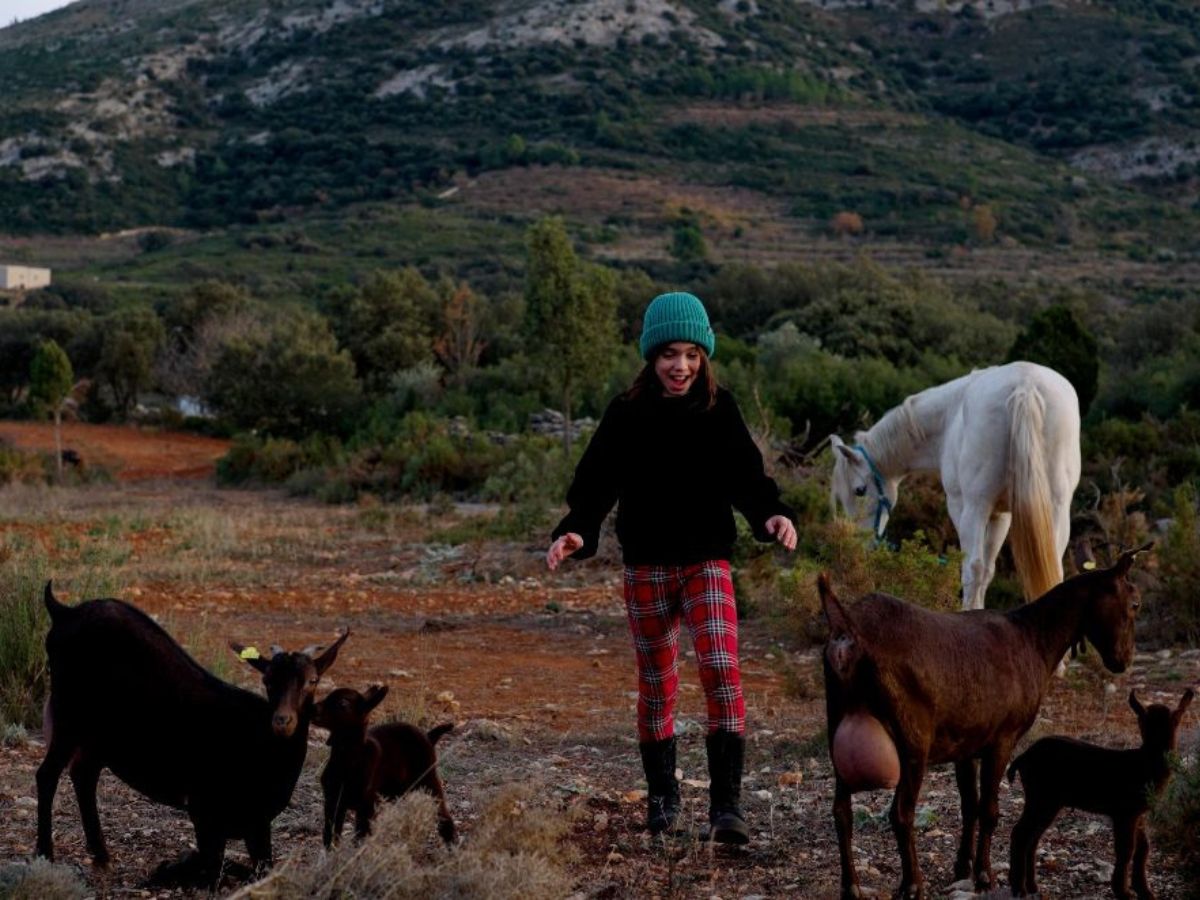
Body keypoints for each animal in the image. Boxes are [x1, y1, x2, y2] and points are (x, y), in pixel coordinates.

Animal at [36, 585, 348, 888]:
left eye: (312, 681)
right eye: (267, 680)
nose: (282, 721)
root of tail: (63, 611)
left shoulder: (258, 825)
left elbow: (261, 870)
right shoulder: (203, 811)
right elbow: (212, 872)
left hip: (98, 734)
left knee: (84, 774)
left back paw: (101, 856)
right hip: (69, 715)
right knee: (48, 774)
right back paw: (45, 856)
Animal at [312, 686, 456, 849]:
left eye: (343, 703)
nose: (312, 709)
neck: (347, 760)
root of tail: (428, 737)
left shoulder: (366, 807)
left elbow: (359, 838)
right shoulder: (333, 802)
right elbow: (330, 835)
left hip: (429, 780)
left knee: (443, 815)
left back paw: (451, 846)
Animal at [820, 542, 1147, 900]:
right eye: (1135, 603)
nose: (1123, 660)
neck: (1033, 637)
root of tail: (848, 633)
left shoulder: (965, 744)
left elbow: (970, 805)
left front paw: (962, 867)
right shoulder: (1003, 739)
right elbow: (989, 810)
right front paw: (984, 875)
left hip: (838, 725)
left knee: (841, 812)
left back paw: (851, 886)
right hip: (912, 741)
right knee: (901, 813)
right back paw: (912, 884)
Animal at [835, 362, 1080, 614]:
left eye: (859, 491)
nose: (859, 547)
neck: (948, 418)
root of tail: (1025, 386)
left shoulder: (959, 506)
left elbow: (973, 569)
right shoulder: (1001, 515)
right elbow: (989, 570)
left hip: (975, 507)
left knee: (973, 567)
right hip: (1056, 509)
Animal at [1008, 686, 1195, 897]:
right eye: (1141, 721)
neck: (1146, 763)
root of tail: (1022, 757)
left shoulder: (1138, 812)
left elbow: (1143, 848)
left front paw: (1145, 891)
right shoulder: (1124, 811)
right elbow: (1126, 849)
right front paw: (1123, 892)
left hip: (1049, 802)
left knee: (1033, 837)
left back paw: (1032, 886)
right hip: (1040, 796)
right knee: (1021, 833)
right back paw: (1018, 888)